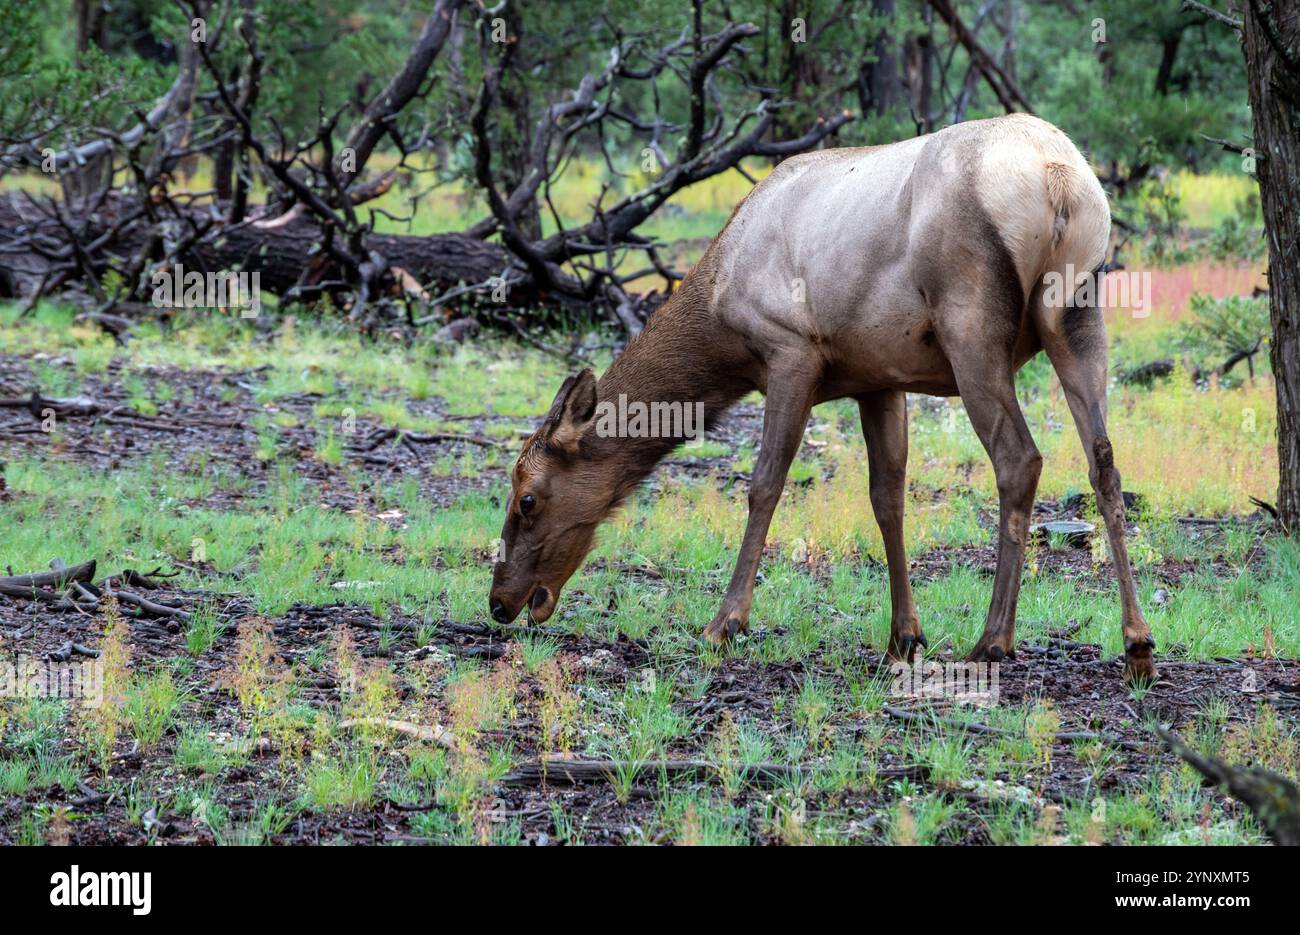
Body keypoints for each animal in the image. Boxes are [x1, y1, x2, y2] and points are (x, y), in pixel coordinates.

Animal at [488, 117, 1159, 686]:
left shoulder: (790, 352)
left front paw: (725, 623)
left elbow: (764, 483)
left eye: (527, 497)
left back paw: (994, 640)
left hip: (972, 326)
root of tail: (1059, 178)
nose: (501, 601)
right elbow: (887, 498)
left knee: (1020, 460)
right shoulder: (878, 378)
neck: (719, 311)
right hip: (1078, 310)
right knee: (1103, 460)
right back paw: (1137, 645)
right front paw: (903, 637)